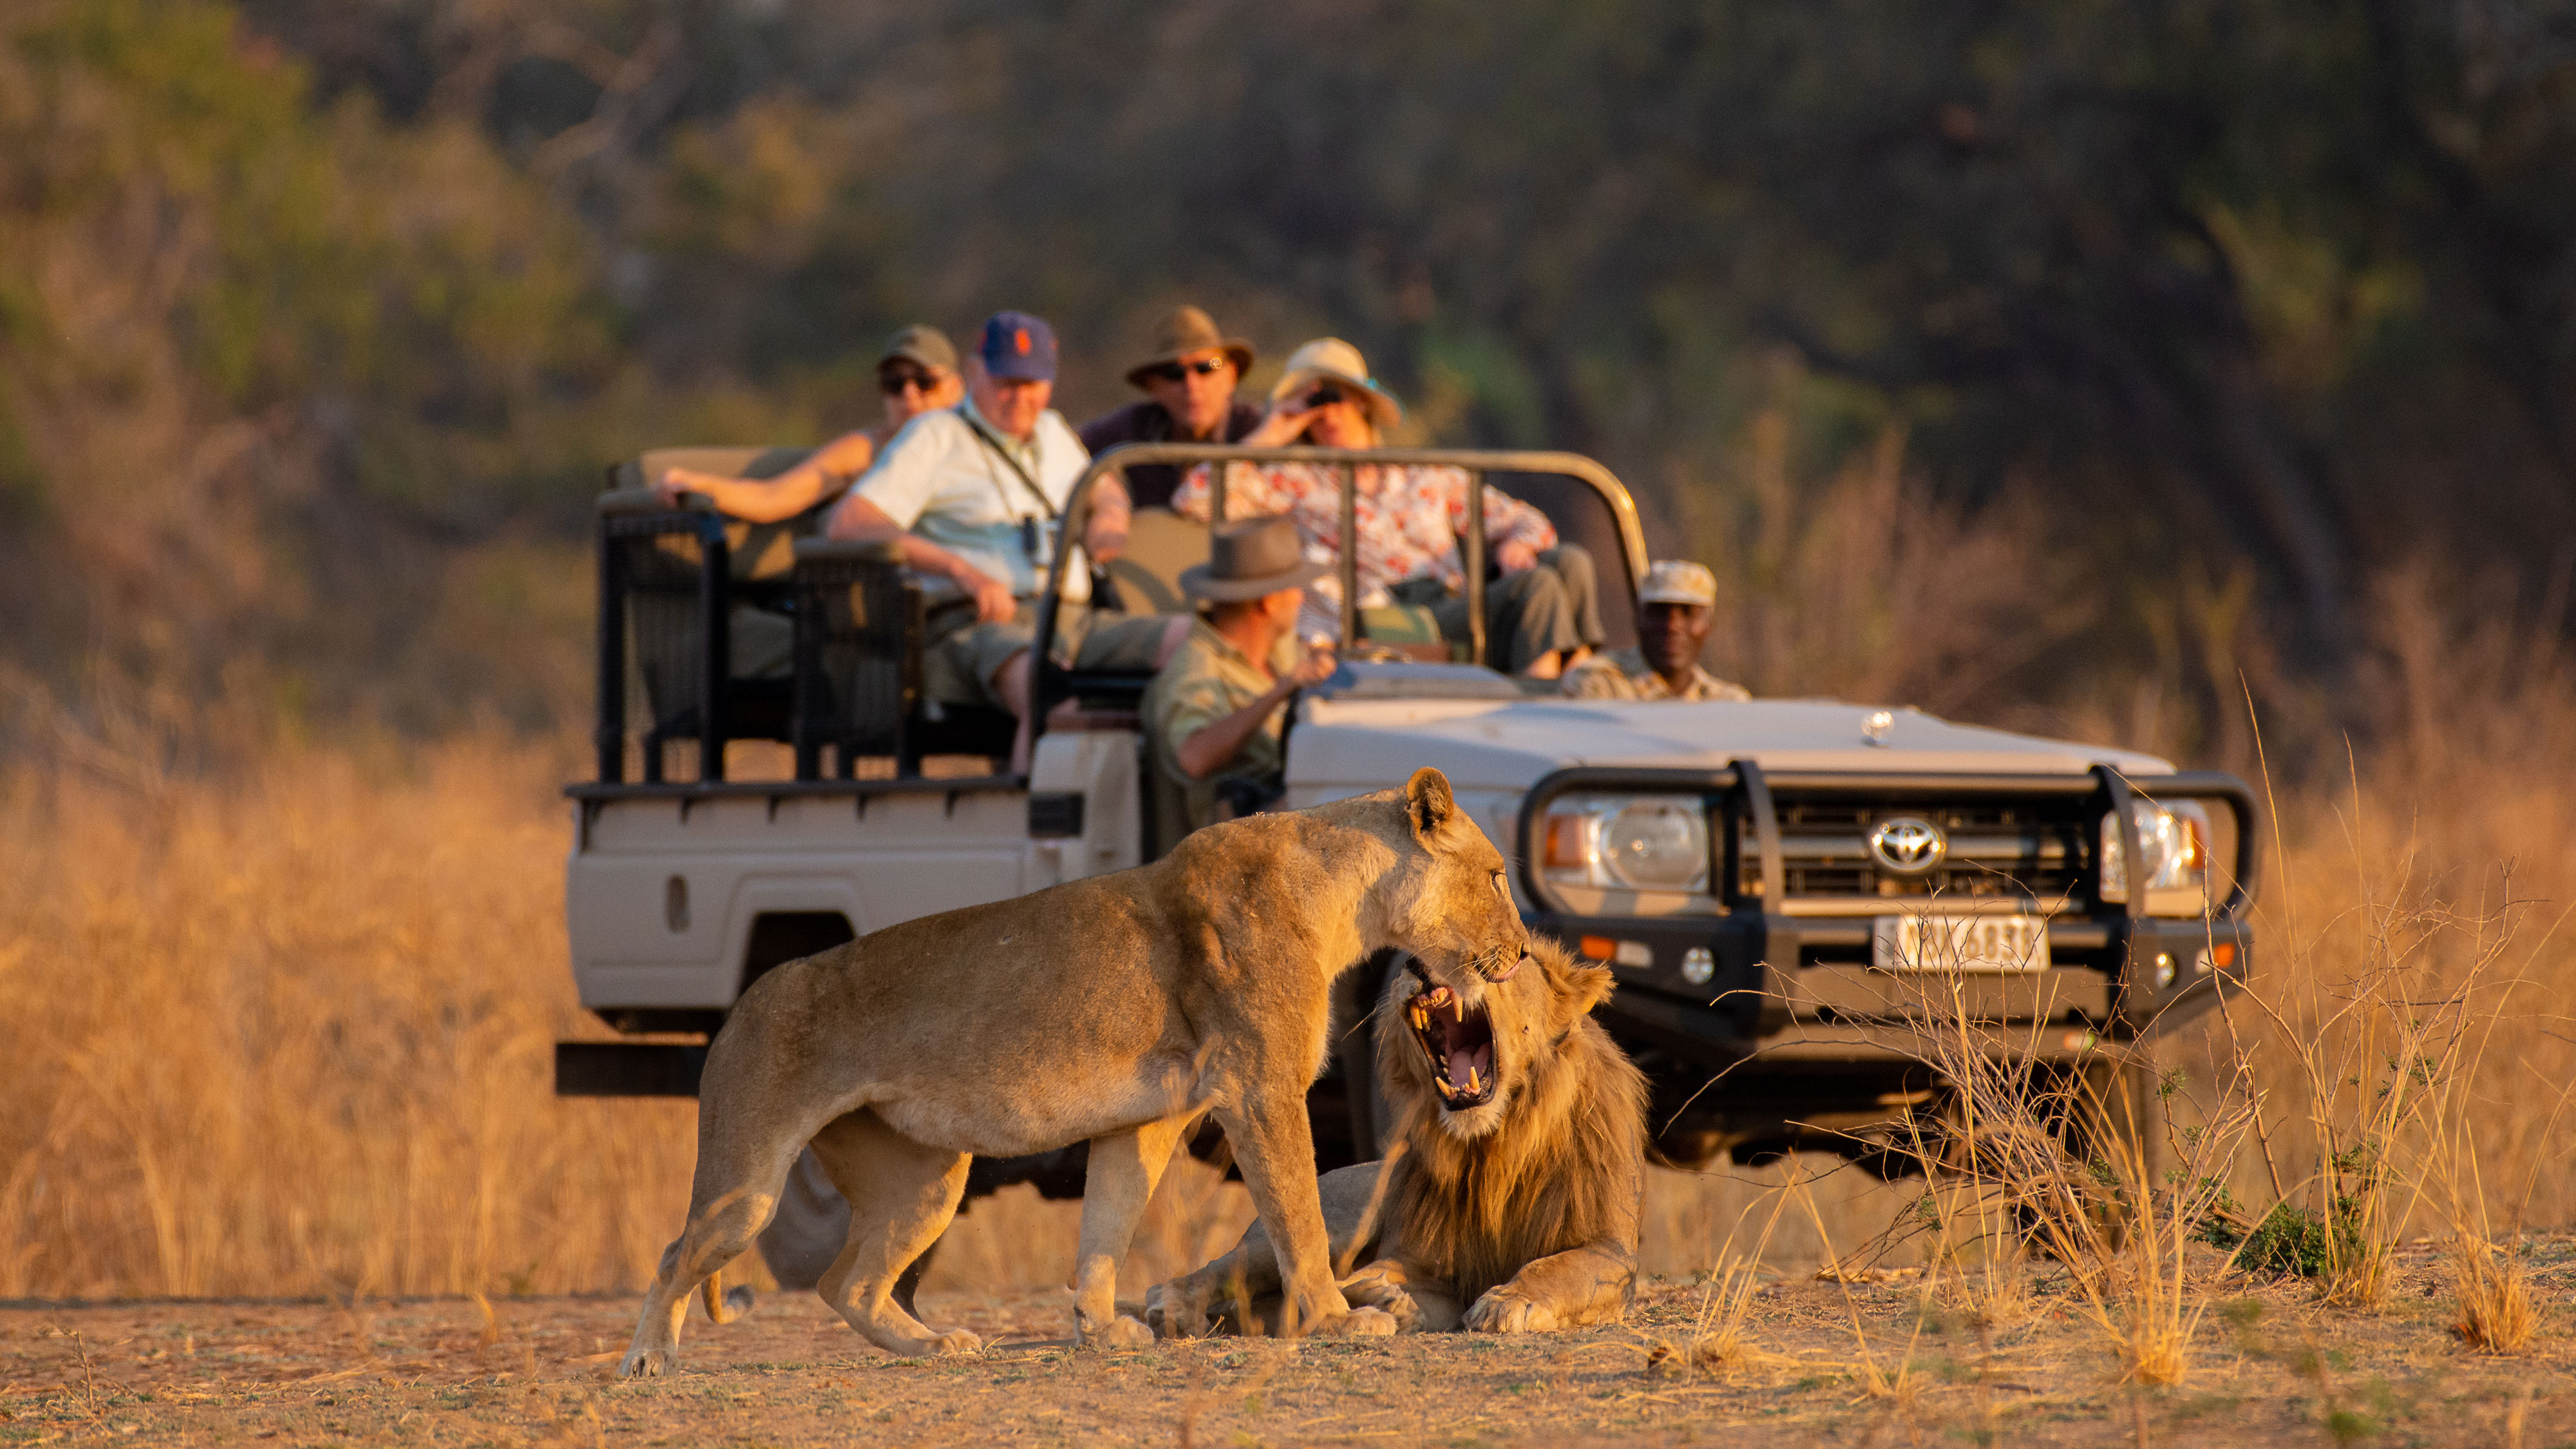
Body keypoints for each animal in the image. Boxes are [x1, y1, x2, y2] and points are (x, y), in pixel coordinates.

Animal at [618, 763, 1525, 1371]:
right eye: (1494, 875)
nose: (1520, 954)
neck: (1342, 896)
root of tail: (745, 1000)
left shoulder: (1149, 1119)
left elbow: (1106, 1225)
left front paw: (1101, 1327)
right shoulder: (1261, 1090)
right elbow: (1296, 1215)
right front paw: (1337, 1320)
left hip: (925, 1182)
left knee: (847, 1280)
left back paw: (934, 1344)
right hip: (749, 1186)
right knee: (674, 1253)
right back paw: (648, 1359)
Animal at [1154, 938, 1638, 1330]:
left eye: (1520, 957)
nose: (1419, 961)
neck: (1495, 1146)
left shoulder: (1611, 1249)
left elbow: (1557, 1268)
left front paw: (1507, 1300)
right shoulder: (1417, 1256)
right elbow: (1374, 1276)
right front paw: (1378, 1297)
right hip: (1339, 1220)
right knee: (1215, 1272)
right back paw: (1172, 1308)